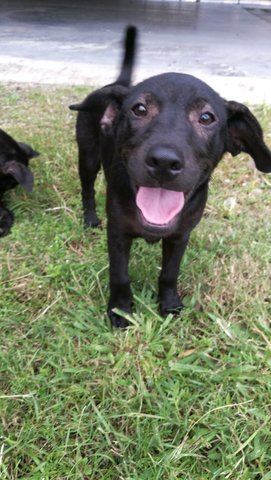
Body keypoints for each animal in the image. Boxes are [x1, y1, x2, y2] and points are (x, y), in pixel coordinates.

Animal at [70, 25, 271, 326]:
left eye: (206, 117)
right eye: (139, 109)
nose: (164, 162)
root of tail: (114, 85)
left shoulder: (181, 235)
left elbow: (169, 273)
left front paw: (169, 304)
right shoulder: (117, 233)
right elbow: (120, 275)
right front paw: (120, 310)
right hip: (88, 157)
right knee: (87, 189)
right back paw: (90, 218)